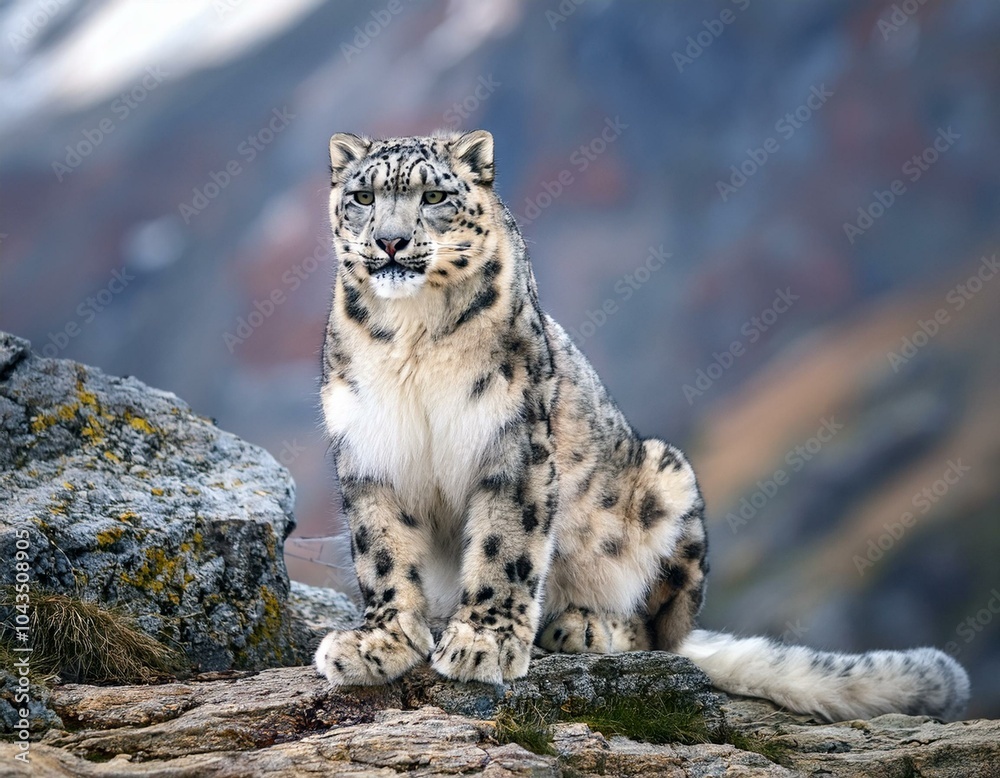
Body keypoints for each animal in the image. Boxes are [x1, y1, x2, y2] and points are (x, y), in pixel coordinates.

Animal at [313, 129, 970, 722]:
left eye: (433, 196)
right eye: (363, 197)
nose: (391, 242)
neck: (415, 335)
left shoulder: (514, 443)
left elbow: (505, 545)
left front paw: (485, 641)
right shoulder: (369, 449)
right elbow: (383, 551)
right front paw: (377, 642)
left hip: (666, 483)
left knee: (663, 636)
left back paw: (586, 627)